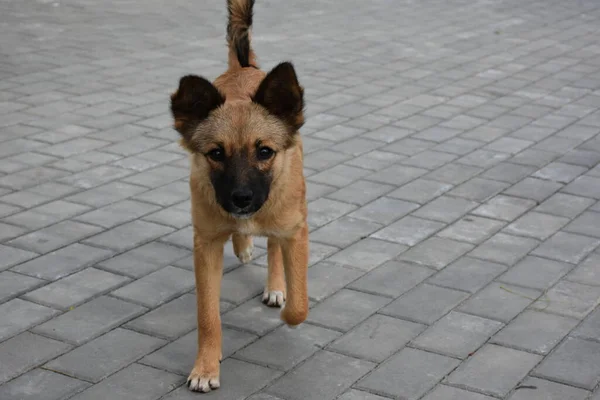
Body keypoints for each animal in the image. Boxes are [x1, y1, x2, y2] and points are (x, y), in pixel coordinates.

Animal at [169, 0, 310, 392]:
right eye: (216, 154)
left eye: (264, 152)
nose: (241, 199)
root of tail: (242, 68)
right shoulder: (205, 244)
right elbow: (207, 316)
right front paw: (205, 366)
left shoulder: (296, 231)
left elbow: (300, 305)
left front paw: (286, 303)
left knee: (274, 246)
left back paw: (274, 284)